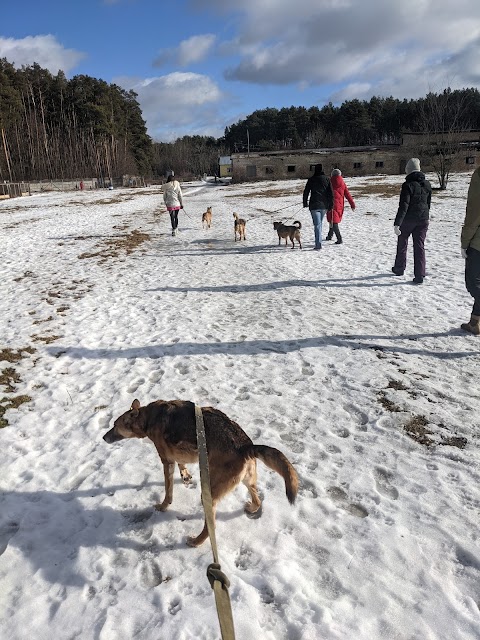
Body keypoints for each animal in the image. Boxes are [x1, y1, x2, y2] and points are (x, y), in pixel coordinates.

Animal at [103, 400, 298, 544]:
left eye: (115, 425)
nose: (103, 437)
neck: (148, 417)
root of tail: (246, 446)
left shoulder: (166, 461)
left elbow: (168, 491)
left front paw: (163, 506)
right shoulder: (179, 455)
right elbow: (182, 464)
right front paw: (185, 475)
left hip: (208, 494)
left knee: (211, 528)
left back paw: (196, 541)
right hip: (247, 480)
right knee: (257, 499)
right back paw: (252, 507)